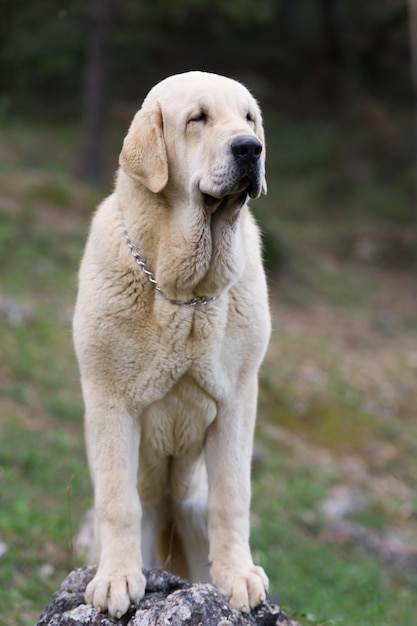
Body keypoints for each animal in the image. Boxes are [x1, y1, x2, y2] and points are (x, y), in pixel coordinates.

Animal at [72, 70, 270, 616]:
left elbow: (233, 496)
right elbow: (117, 500)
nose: (250, 148)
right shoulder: (109, 401)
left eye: (248, 118)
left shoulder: (238, 401)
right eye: (198, 118)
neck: (186, 295)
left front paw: (238, 575)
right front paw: (117, 580)